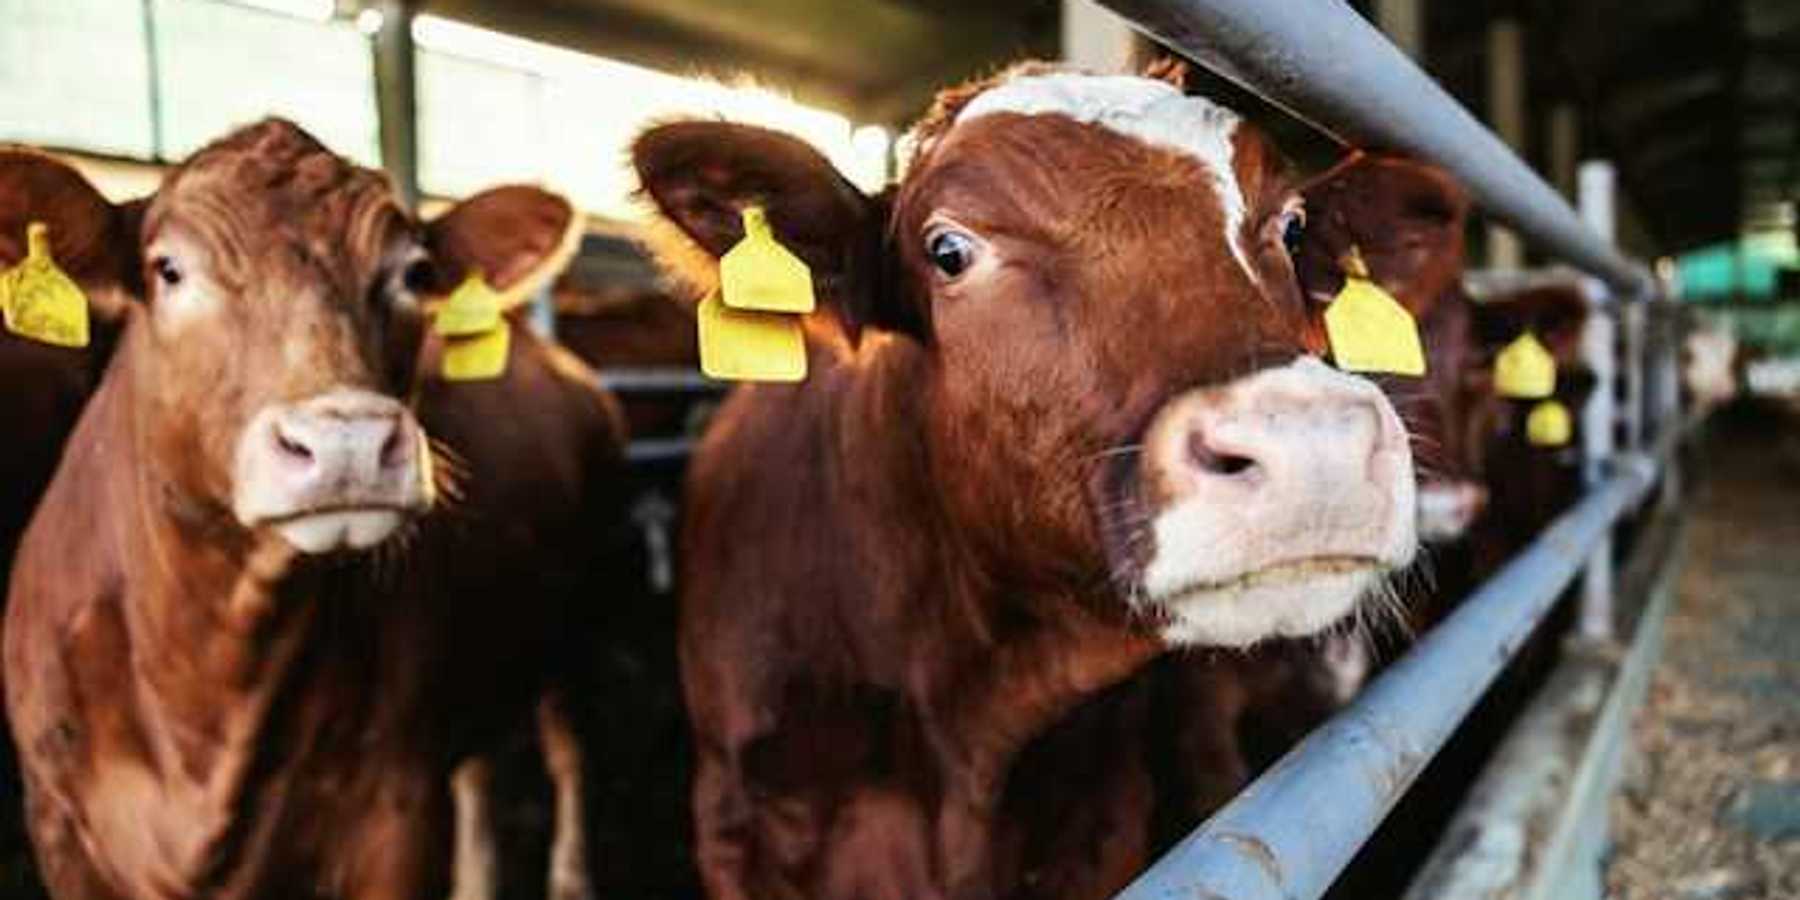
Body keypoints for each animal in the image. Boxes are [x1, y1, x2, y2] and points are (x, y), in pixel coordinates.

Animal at [3, 120, 639, 900]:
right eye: (169, 270)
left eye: (414, 275)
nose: (348, 442)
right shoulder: (59, 825)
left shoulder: (396, 816)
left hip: (582, 610)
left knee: (569, 748)